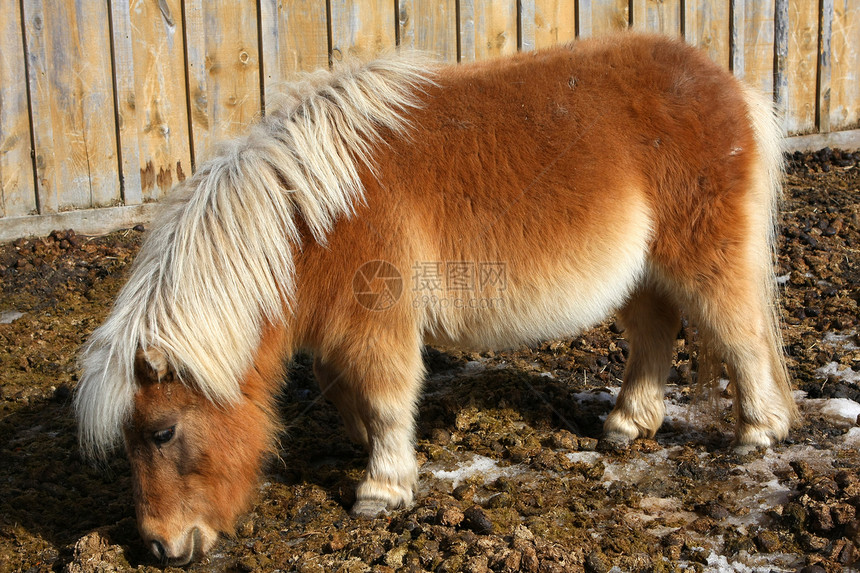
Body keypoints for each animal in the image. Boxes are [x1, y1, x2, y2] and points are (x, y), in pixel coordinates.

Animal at [75, 32, 800, 564]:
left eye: (163, 431)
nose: (163, 548)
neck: (311, 213)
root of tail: (727, 82)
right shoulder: (338, 331)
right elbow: (343, 391)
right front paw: (370, 449)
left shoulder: (377, 321)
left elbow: (386, 396)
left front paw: (383, 486)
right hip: (641, 271)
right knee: (655, 332)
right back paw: (627, 425)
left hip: (703, 256)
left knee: (738, 333)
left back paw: (758, 432)